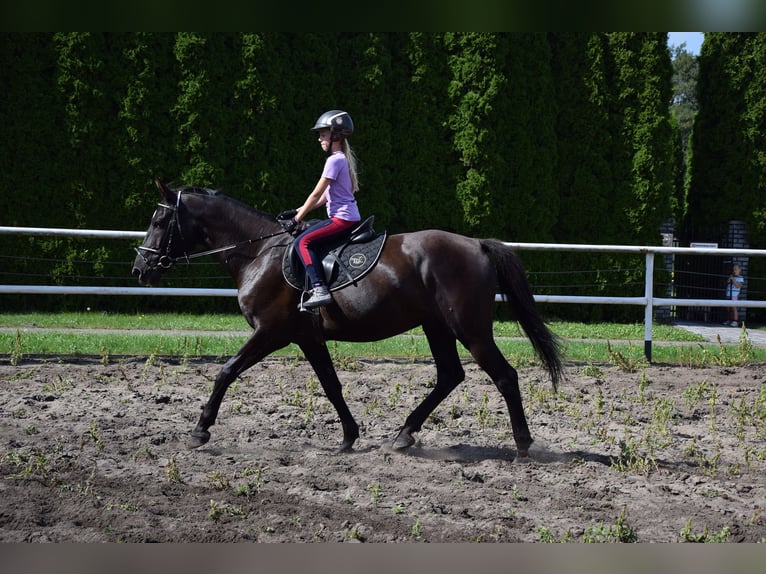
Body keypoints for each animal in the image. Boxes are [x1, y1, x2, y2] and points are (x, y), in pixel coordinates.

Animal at [132, 178, 564, 457]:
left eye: (158, 221)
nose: (140, 269)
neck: (260, 253)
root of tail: (476, 244)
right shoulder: (307, 338)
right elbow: (332, 385)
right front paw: (349, 437)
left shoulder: (271, 332)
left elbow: (226, 371)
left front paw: (200, 430)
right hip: (437, 326)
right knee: (449, 376)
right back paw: (404, 434)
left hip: (469, 329)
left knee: (504, 376)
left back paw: (523, 444)